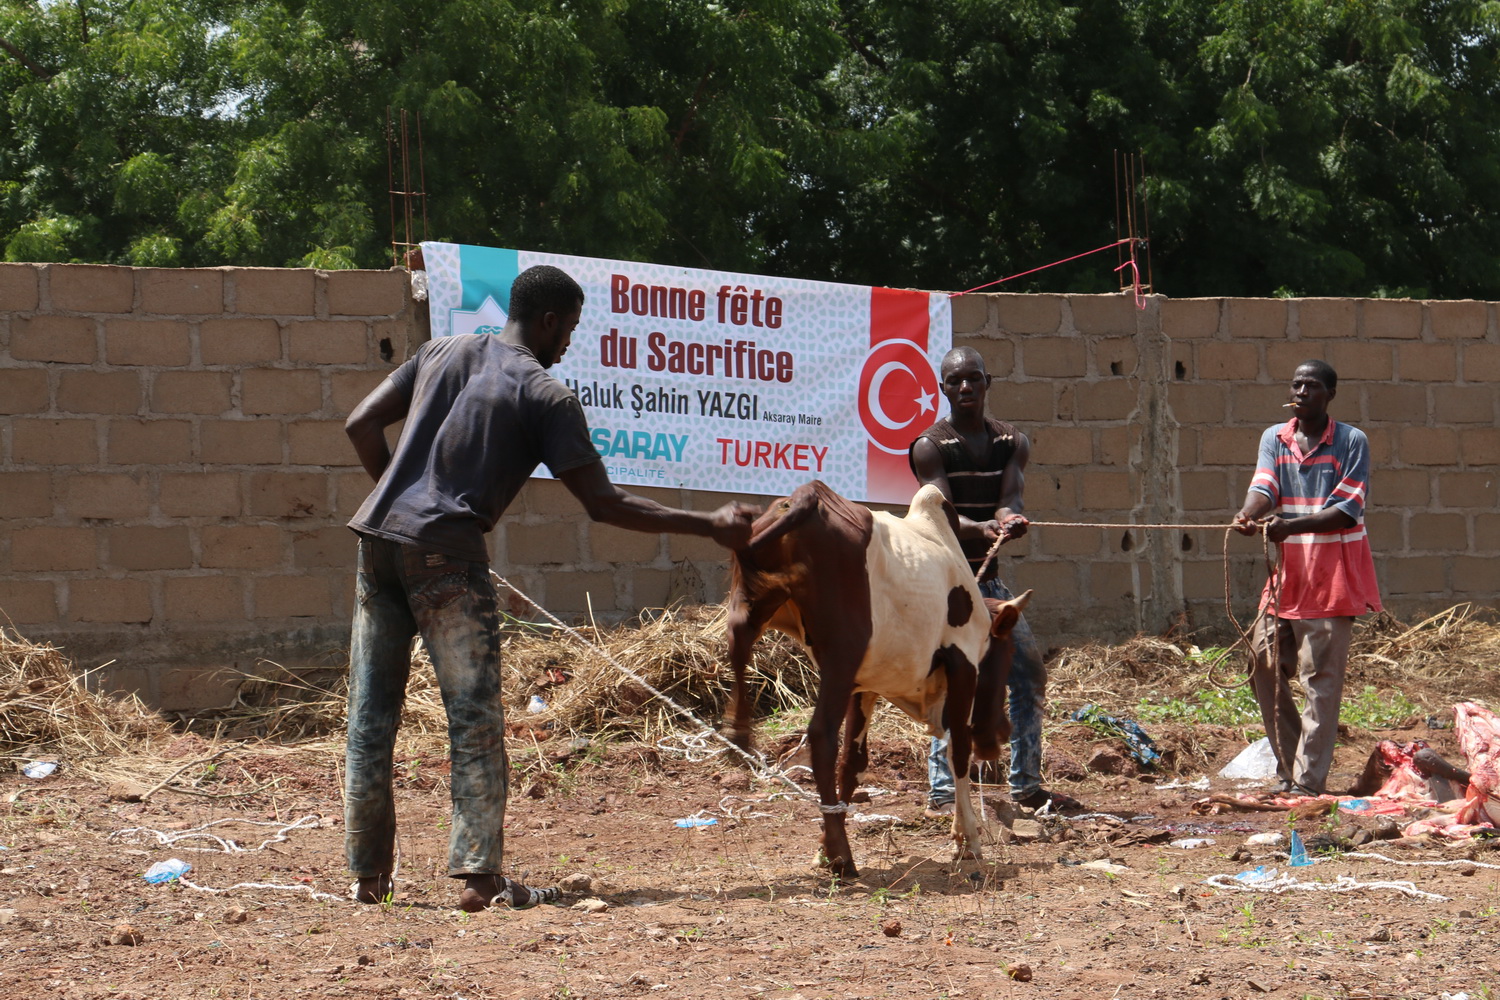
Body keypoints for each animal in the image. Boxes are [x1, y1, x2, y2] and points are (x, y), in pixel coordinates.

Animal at [726, 476, 1032, 875]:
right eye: (1007, 653)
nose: (1002, 735)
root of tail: (806, 499)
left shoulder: (864, 686)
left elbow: (853, 763)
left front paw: (822, 846)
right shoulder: (962, 663)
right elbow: (959, 750)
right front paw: (968, 839)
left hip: (755, 604)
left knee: (737, 645)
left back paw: (738, 733)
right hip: (841, 658)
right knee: (821, 736)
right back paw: (842, 854)